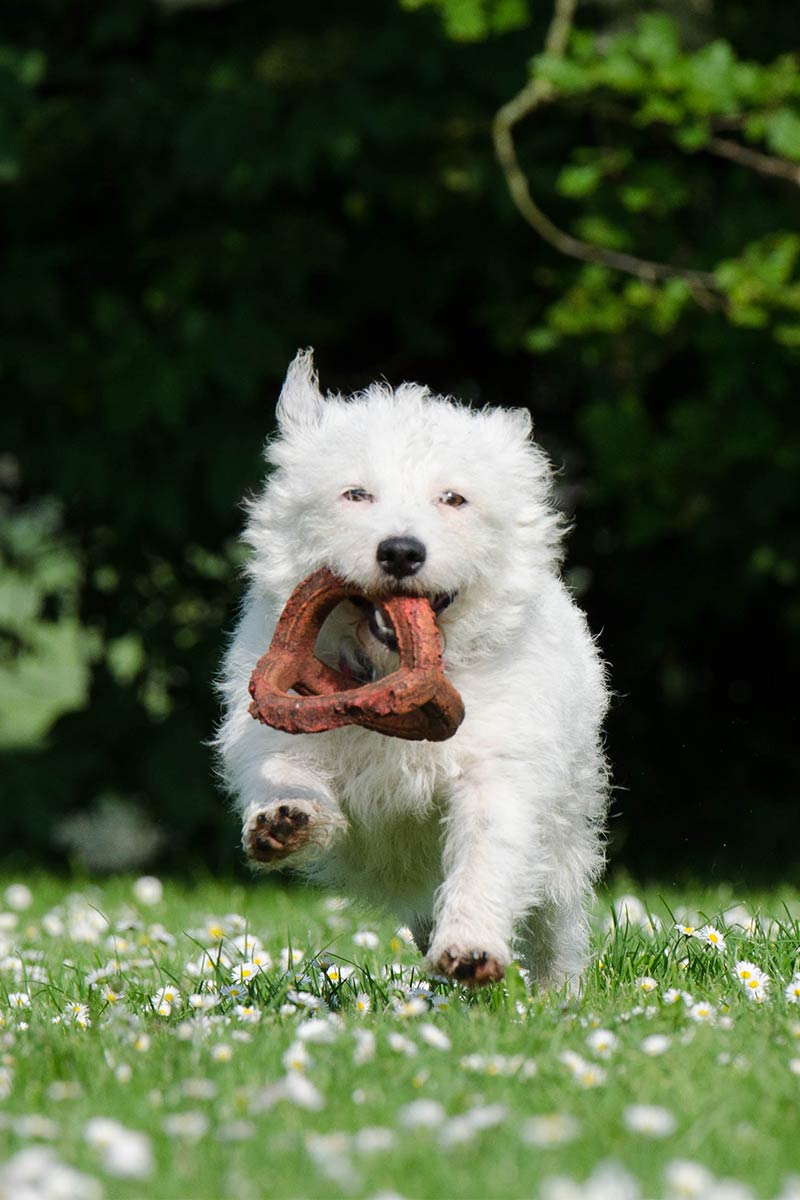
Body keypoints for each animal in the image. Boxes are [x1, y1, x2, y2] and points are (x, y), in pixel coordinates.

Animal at [215, 350, 609, 988]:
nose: (400, 551)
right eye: (355, 494)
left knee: (554, 921)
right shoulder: (272, 716)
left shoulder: (502, 768)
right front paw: (285, 816)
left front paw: (471, 944)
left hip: (564, 841)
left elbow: (486, 854)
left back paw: (557, 989)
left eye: (453, 499)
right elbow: (280, 761)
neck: (383, 675)